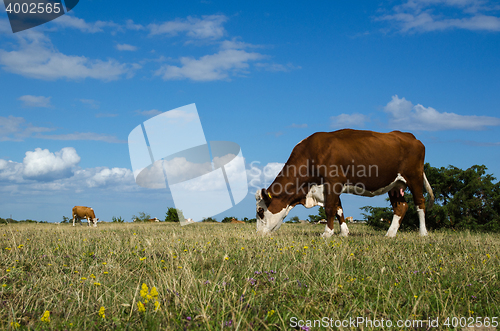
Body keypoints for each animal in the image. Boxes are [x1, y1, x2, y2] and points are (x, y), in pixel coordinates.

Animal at [256, 130, 436, 239]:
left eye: (260, 211)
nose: (258, 234)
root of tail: (409, 135)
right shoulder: (329, 188)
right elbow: (338, 209)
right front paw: (344, 233)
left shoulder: (333, 182)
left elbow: (330, 208)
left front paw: (327, 234)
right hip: (395, 185)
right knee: (401, 207)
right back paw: (390, 234)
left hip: (414, 177)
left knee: (420, 203)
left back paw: (423, 233)